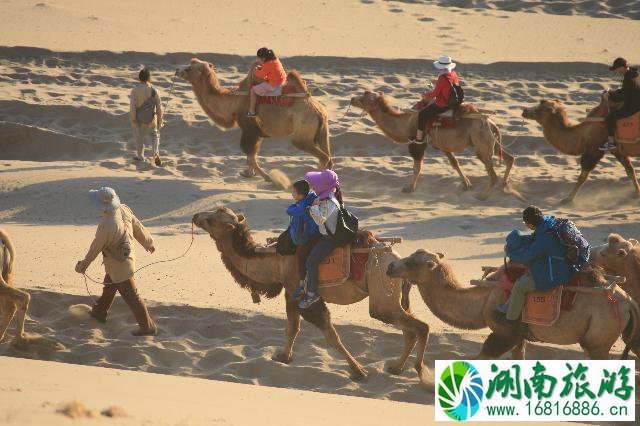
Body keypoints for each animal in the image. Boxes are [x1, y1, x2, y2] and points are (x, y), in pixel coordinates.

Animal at [178, 57, 332, 180]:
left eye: (189, 68)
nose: (177, 71)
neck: (234, 101)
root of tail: (319, 111)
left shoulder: (249, 129)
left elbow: (250, 154)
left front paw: (269, 178)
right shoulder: (256, 132)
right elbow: (251, 155)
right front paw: (248, 174)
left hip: (302, 134)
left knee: (323, 156)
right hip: (322, 131)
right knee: (328, 157)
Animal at [190, 206, 430, 382]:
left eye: (212, 220)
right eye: (214, 211)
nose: (195, 216)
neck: (275, 261)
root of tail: (396, 258)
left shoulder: (305, 295)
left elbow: (330, 334)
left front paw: (358, 371)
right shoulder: (291, 292)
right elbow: (292, 328)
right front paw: (284, 357)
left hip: (381, 289)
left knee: (419, 327)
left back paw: (419, 371)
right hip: (396, 294)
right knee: (409, 328)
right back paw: (396, 368)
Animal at [348, 90, 516, 197]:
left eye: (365, 99)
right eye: (364, 93)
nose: (352, 99)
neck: (406, 123)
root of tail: (491, 123)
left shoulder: (418, 143)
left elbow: (417, 167)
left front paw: (409, 188)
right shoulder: (443, 145)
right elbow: (454, 163)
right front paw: (467, 184)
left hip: (481, 143)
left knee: (492, 173)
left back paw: (483, 196)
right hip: (491, 142)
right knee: (510, 158)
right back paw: (504, 186)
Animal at [384, 248, 640, 362]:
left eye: (413, 262)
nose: (390, 266)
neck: (486, 297)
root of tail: (627, 302)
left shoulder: (505, 332)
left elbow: (482, 357)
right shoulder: (520, 335)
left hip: (599, 337)